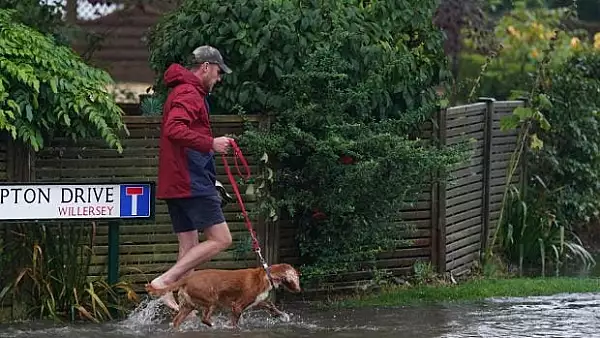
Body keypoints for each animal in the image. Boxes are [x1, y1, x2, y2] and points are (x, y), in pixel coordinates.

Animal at [146, 262, 300, 328]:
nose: (299, 290)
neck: (266, 276)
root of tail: (187, 278)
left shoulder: (259, 301)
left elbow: (271, 305)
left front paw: (283, 315)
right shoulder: (237, 306)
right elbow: (234, 324)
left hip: (187, 306)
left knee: (177, 321)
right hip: (211, 300)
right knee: (204, 318)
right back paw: (213, 325)